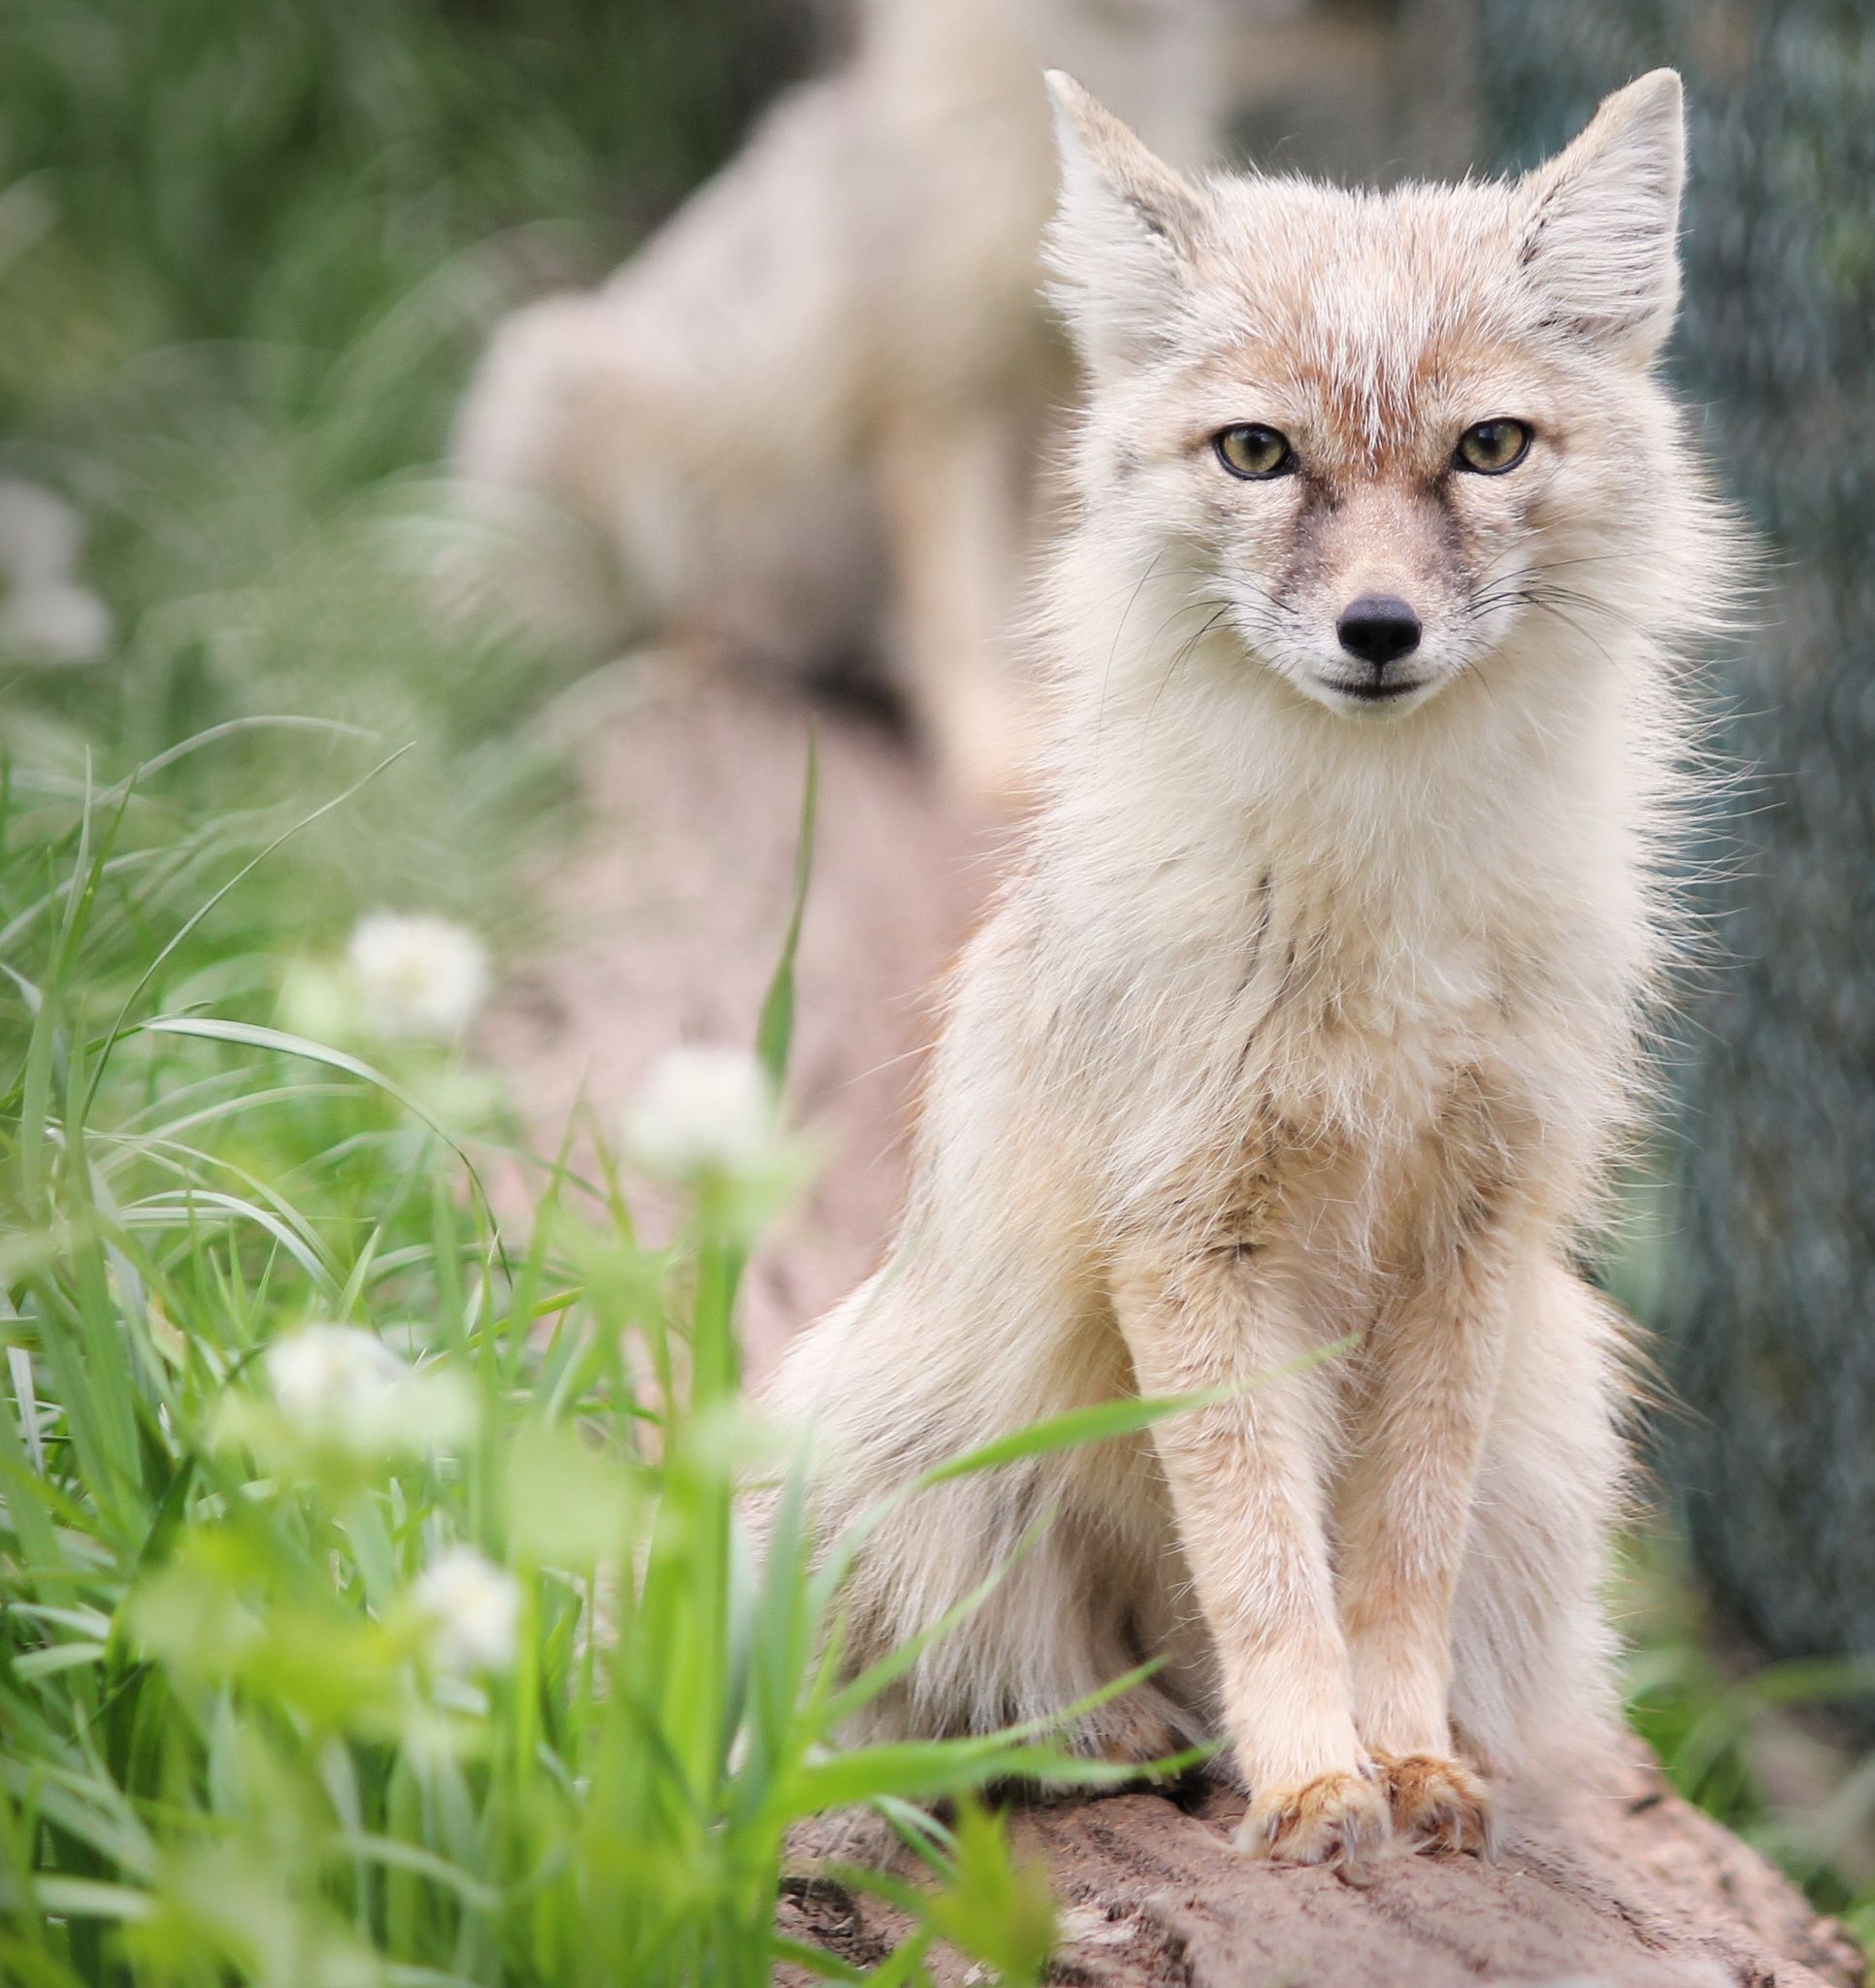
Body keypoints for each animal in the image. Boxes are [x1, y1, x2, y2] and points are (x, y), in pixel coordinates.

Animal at [449, 0, 1231, 803]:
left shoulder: (1058, 415)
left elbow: (1034, 602)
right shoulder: (936, 397)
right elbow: (963, 607)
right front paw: (991, 754)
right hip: (560, 398)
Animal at [763, 69, 1740, 1872]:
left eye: (1488, 445)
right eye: (1258, 453)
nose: (1378, 630)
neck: (1379, 896)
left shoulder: (1468, 1232)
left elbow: (1394, 1555)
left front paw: (1403, 1756)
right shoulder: (1191, 1227)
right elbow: (1266, 1562)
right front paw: (1305, 1780)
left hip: (1557, 1402)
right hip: (902, 1444)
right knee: (996, 1694)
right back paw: (1135, 1736)